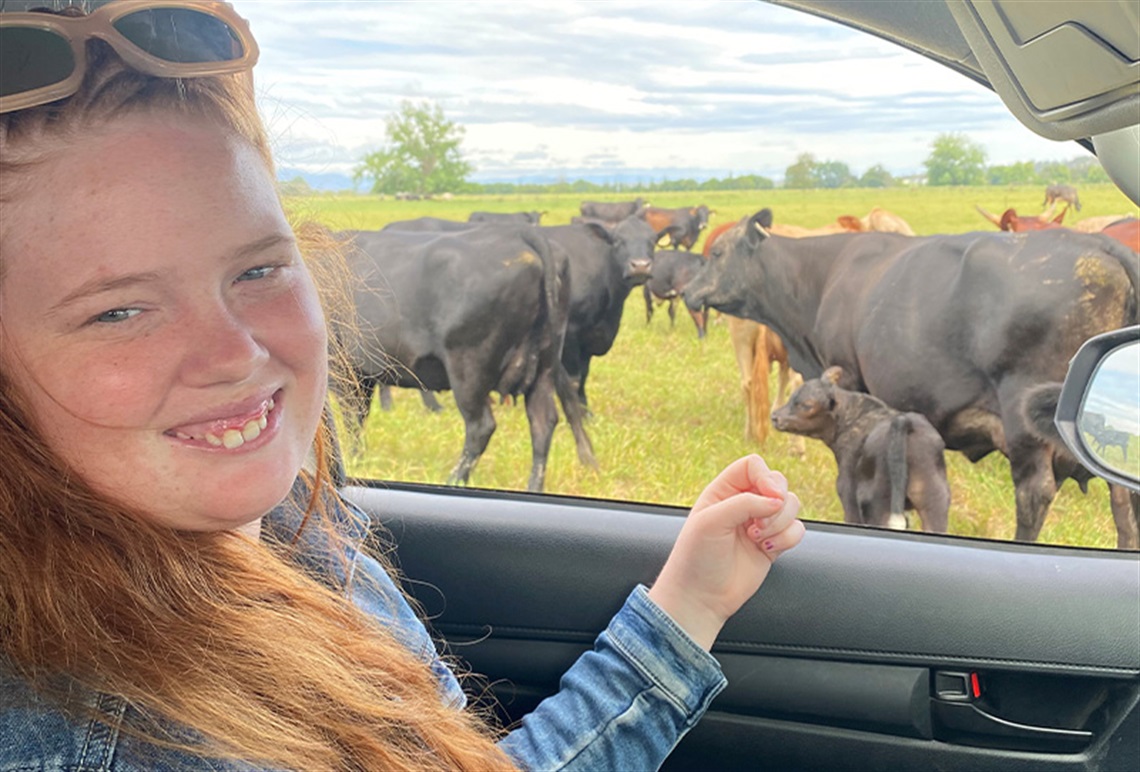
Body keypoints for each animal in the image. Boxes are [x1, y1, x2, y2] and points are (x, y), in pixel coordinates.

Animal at [337, 222, 597, 490]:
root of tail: (518, 233)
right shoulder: (361, 374)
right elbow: (358, 416)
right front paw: (358, 458)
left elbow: (348, 417)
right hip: (544, 365)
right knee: (543, 422)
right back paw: (535, 486)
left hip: (468, 369)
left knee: (481, 426)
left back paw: (453, 479)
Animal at [775, 364, 953, 533]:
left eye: (807, 405)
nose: (775, 417)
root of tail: (903, 422)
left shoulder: (848, 494)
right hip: (934, 500)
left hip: (874, 503)